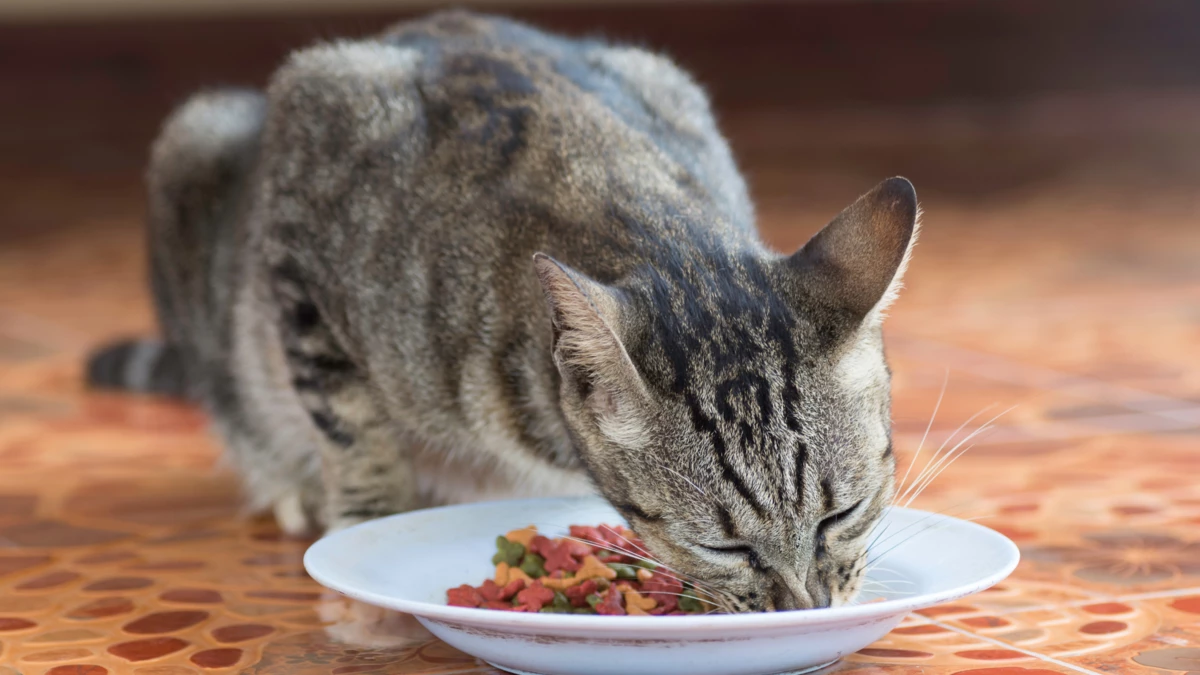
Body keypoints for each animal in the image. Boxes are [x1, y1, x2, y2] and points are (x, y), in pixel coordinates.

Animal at [88, 10, 916, 610]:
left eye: (843, 513)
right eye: (724, 548)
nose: (807, 608)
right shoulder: (306, 198)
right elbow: (354, 431)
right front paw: (366, 529)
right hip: (199, 141)